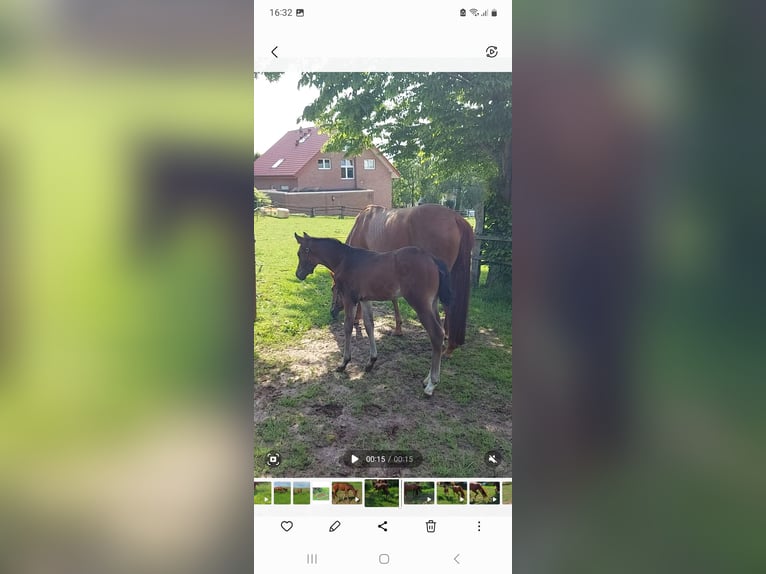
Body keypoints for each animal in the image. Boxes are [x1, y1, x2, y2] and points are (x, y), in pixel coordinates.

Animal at [295, 233, 452, 396]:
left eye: (300, 253)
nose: (298, 274)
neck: (344, 260)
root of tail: (432, 259)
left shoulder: (350, 298)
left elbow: (348, 327)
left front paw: (344, 363)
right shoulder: (365, 300)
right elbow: (369, 325)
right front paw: (371, 361)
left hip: (420, 304)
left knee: (436, 334)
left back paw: (432, 384)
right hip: (432, 304)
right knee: (439, 333)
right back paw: (427, 379)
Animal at [330, 204, 474, 356]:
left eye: (333, 289)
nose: (332, 312)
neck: (361, 226)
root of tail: (456, 217)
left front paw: (357, 318)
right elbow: (394, 299)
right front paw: (398, 328)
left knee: (448, 306)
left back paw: (449, 347)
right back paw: (447, 336)